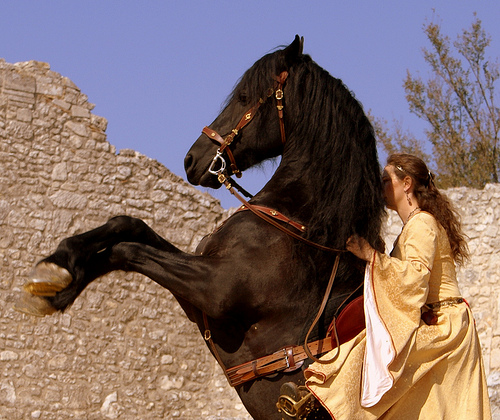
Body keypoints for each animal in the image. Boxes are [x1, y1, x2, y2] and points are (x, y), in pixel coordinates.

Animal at [15, 37, 382, 420]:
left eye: (244, 97)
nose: (192, 159)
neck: (298, 227)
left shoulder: (213, 291)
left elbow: (125, 250)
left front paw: (59, 280)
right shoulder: (197, 300)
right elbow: (129, 226)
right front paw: (58, 272)